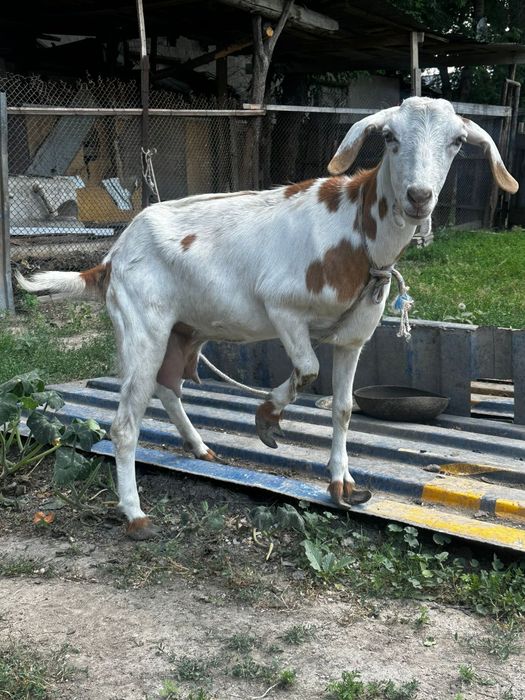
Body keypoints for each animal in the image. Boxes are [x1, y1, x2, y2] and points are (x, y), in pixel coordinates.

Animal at [17, 97, 518, 540]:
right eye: (391, 138)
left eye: (457, 141)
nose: (419, 197)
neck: (353, 230)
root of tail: (111, 258)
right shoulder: (283, 308)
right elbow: (308, 369)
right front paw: (265, 419)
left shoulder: (354, 337)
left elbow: (343, 407)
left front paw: (342, 484)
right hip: (142, 327)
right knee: (126, 421)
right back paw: (135, 515)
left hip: (184, 330)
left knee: (168, 386)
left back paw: (198, 446)